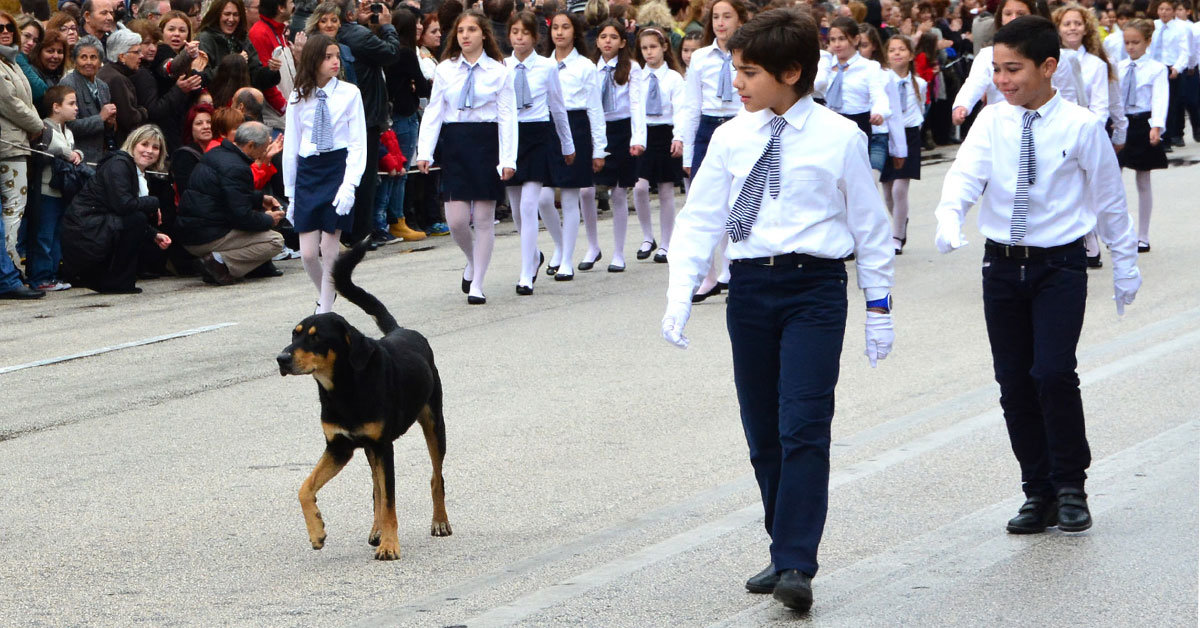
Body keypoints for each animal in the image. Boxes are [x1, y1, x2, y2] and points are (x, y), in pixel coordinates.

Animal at [276, 240, 451, 559]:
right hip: (371, 448)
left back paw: (439, 521)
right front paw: (317, 532)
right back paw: (376, 529)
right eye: (294, 335)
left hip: (434, 422)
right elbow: (305, 488)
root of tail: (400, 330)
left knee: (435, 476)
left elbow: (391, 501)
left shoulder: (383, 446)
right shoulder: (339, 446)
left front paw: (390, 546)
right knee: (376, 491)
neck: (344, 388)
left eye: (316, 337)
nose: (281, 359)